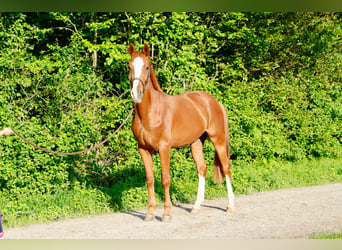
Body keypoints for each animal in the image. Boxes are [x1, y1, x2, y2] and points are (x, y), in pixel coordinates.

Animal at [128, 44, 235, 222]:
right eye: (129, 66)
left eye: (147, 67)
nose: (136, 94)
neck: (150, 112)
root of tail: (214, 102)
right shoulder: (143, 149)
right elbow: (150, 180)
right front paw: (150, 213)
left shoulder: (164, 148)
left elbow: (165, 179)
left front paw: (166, 213)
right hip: (196, 143)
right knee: (202, 168)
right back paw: (196, 207)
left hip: (218, 140)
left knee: (226, 167)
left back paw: (230, 205)